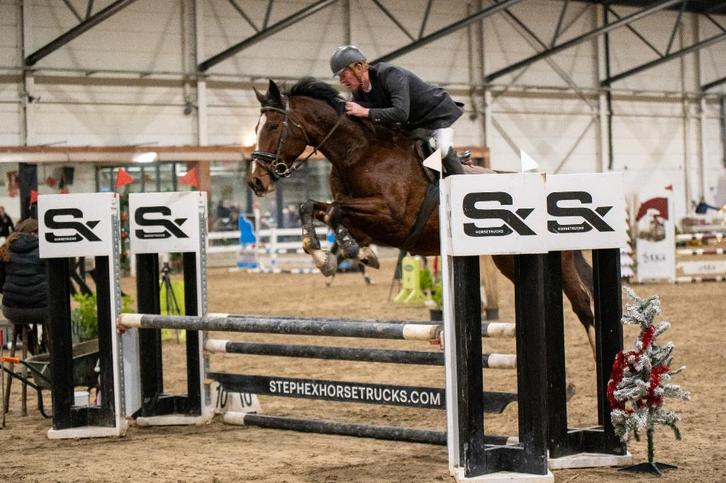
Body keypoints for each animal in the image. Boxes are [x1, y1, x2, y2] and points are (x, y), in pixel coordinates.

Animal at [245, 78, 597, 351]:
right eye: (256, 127)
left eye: (273, 126)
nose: (256, 182)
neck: (358, 153)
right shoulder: (364, 219)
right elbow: (314, 207)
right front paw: (328, 255)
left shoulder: (392, 216)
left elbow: (335, 212)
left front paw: (349, 253)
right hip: (508, 259)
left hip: (555, 259)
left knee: (582, 304)